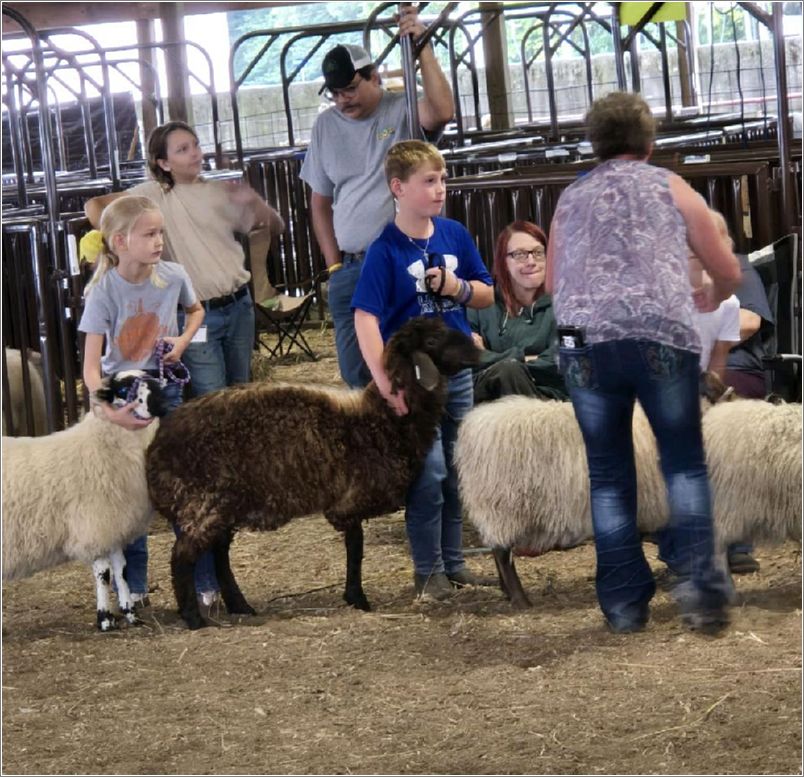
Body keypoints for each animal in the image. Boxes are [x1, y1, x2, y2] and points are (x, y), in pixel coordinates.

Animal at [2, 372, 166, 632]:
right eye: (123, 388)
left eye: (150, 381)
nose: (159, 405)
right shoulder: (94, 526)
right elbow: (104, 574)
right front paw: (105, 619)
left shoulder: (113, 526)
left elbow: (122, 570)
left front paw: (130, 613)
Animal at [145, 316, 480, 632]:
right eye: (433, 340)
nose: (478, 349)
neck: (381, 419)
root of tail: (156, 445)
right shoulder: (348, 503)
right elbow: (356, 550)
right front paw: (358, 598)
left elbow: (354, 548)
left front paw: (354, 597)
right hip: (203, 504)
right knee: (182, 557)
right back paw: (194, 618)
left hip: (224, 507)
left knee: (219, 554)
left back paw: (240, 606)